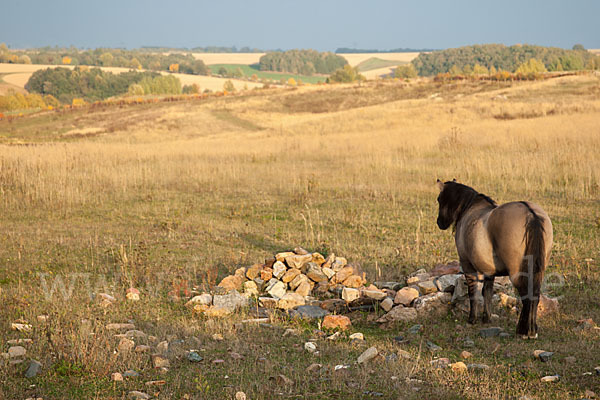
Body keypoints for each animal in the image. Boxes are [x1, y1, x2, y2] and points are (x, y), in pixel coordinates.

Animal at [436, 180, 552, 340]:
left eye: (439, 199)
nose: (439, 223)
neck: (470, 208)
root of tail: (531, 214)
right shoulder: (489, 271)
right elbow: (487, 292)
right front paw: (487, 318)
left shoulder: (467, 265)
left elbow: (473, 292)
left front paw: (472, 319)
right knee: (535, 294)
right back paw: (532, 330)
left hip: (517, 273)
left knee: (527, 296)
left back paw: (524, 331)